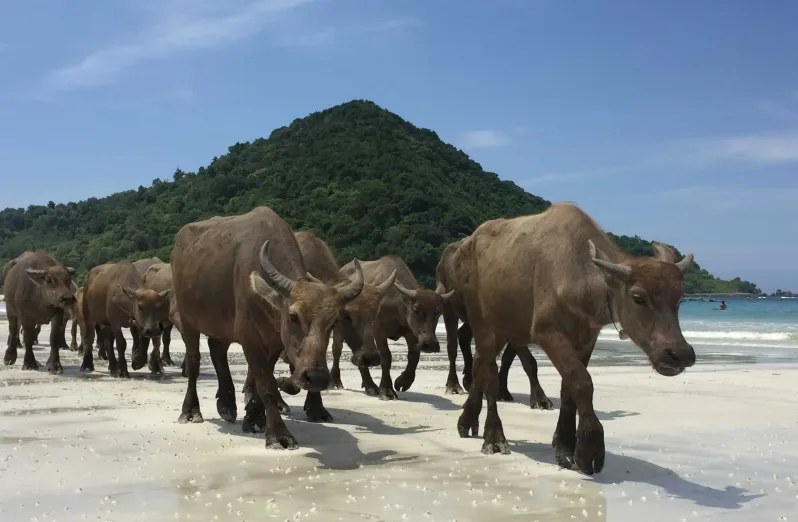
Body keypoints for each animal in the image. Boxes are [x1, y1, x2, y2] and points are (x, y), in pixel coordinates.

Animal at [173, 206, 368, 446]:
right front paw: (278, 433)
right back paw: (190, 410)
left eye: (333, 322)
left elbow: (264, 381)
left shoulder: (275, 341)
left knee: (217, 349)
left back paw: (226, 405)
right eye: (293, 317)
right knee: (193, 362)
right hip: (188, 320)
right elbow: (266, 384)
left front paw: (254, 417)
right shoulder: (249, 338)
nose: (316, 377)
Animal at [336, 255, 454, 398]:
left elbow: (414, 355)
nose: (430, 344)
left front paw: (403, 381)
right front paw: (386, 389)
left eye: (438, 313)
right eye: (416, 310)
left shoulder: (411, 333)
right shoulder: (378, 331)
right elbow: (386, 356)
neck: (396, 304)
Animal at [438, 237, 556, 410]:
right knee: (452, 346)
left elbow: (507, 359)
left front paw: (502, 391)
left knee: (464, 335)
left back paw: (469, 381)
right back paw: (454, 385)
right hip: (448, 307)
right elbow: (529, 362)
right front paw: (541, 399)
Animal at [454, 202, 696, 472]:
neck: (579, 277)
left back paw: (467, 420)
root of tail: (466, 245)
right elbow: (582, 381)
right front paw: (589, 448)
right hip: (482, 324)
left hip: (502, 330)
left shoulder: (586, 340)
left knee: (479, 366)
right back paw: (494, 437)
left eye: (679, 298)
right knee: (489, 374)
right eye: (638, 297)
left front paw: (565, 446)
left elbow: (568, 389)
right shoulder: (547, 332)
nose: (680, 354)